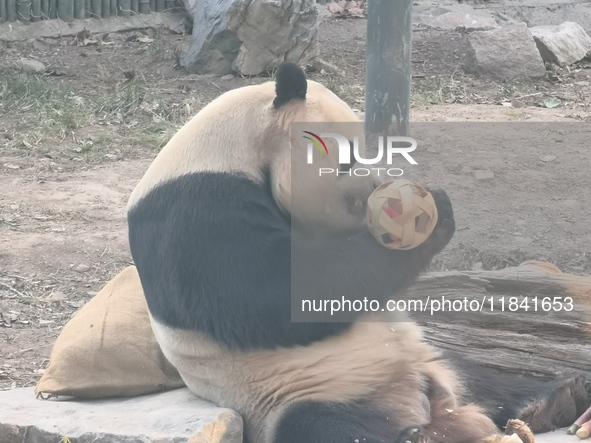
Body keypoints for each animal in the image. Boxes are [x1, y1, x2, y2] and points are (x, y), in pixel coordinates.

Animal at [128, 63, 588, 443]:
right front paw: (432, 215)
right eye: (348, 159)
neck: (231, 147)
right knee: (323, 426)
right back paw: (413, 436)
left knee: (484, 378)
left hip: (431, 358)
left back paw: (558, 398)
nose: (375, 186)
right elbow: (280, 296)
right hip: (296, 393)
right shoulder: (197, 214)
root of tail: (432, 406)